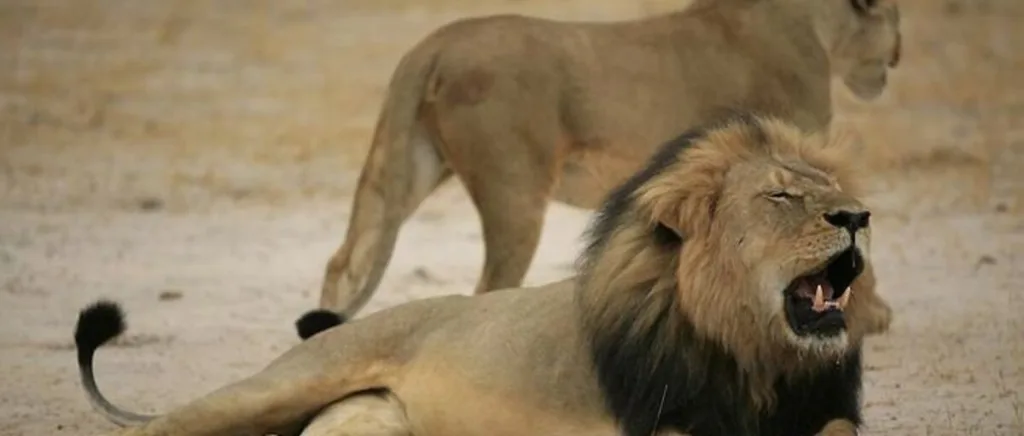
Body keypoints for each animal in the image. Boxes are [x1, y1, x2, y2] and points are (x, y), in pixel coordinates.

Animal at [75, 114, 894, 436]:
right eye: (782, 197)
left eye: (829, 188)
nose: (858, 215)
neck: (752, 353)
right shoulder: (659, 422)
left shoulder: (822, 407)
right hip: (278, 386)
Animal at [313, 0, 902, 331]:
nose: (898, 53)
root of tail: (432, 44)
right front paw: (870, 315)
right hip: (514, 189)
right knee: (489, 287)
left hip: (408, 165)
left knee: (346, 260)